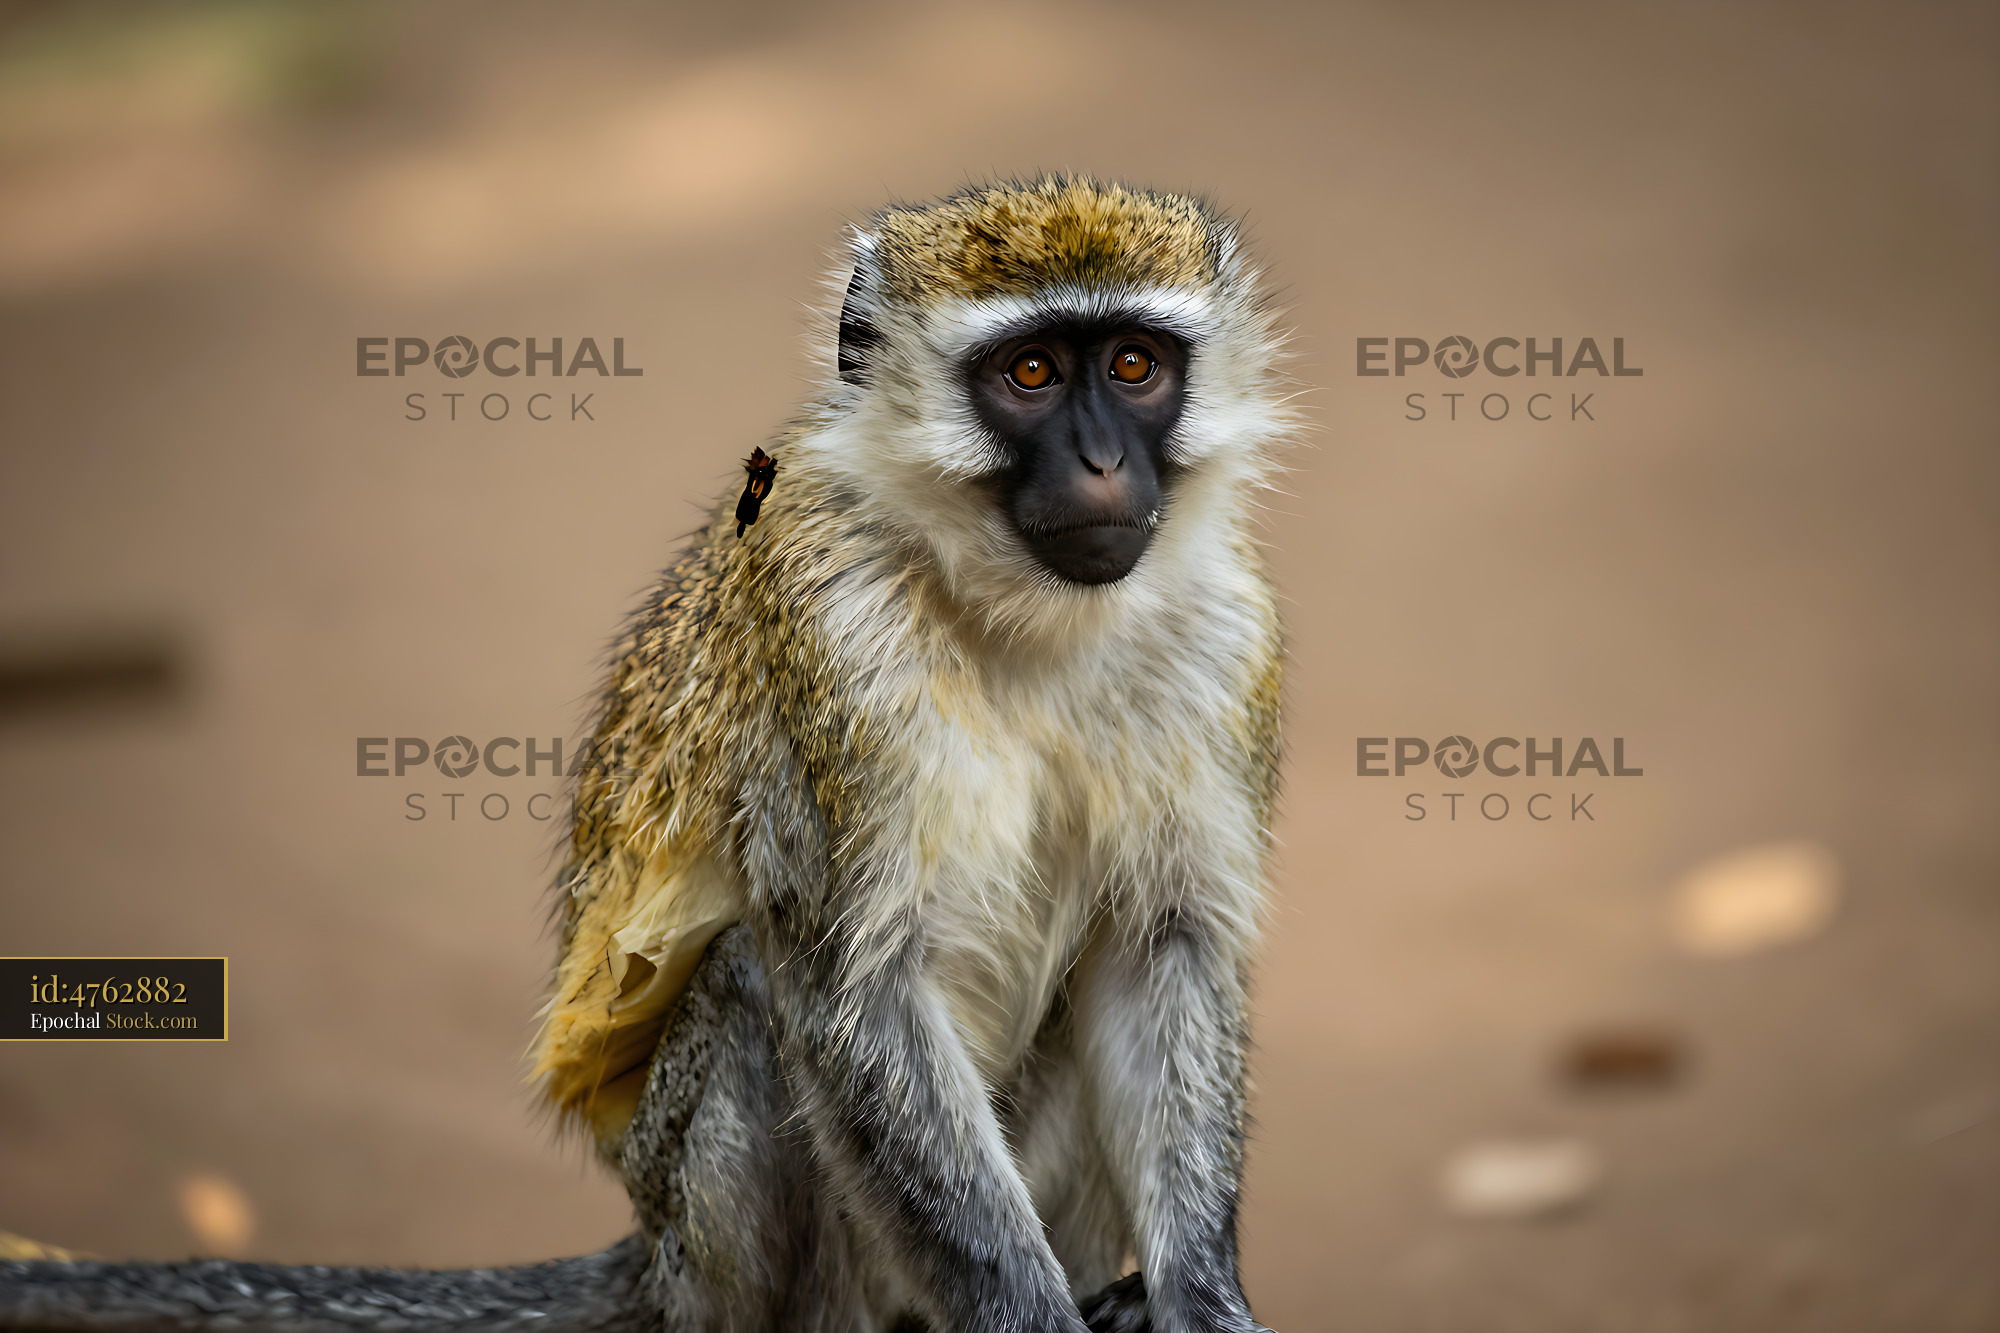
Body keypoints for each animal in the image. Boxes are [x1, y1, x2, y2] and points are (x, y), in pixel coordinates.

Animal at [1, 176, 1291, 1333]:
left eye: (1132, 365)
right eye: (1030, 374)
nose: (1101, 464)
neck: (1018, 614)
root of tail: (652, 1250)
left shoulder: (1226, 638)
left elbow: (1159, 948)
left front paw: (1197, 1302)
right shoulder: (830, 637)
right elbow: (853, 990)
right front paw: (1030, 1316)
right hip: (719, 1233)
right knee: (750, 980)